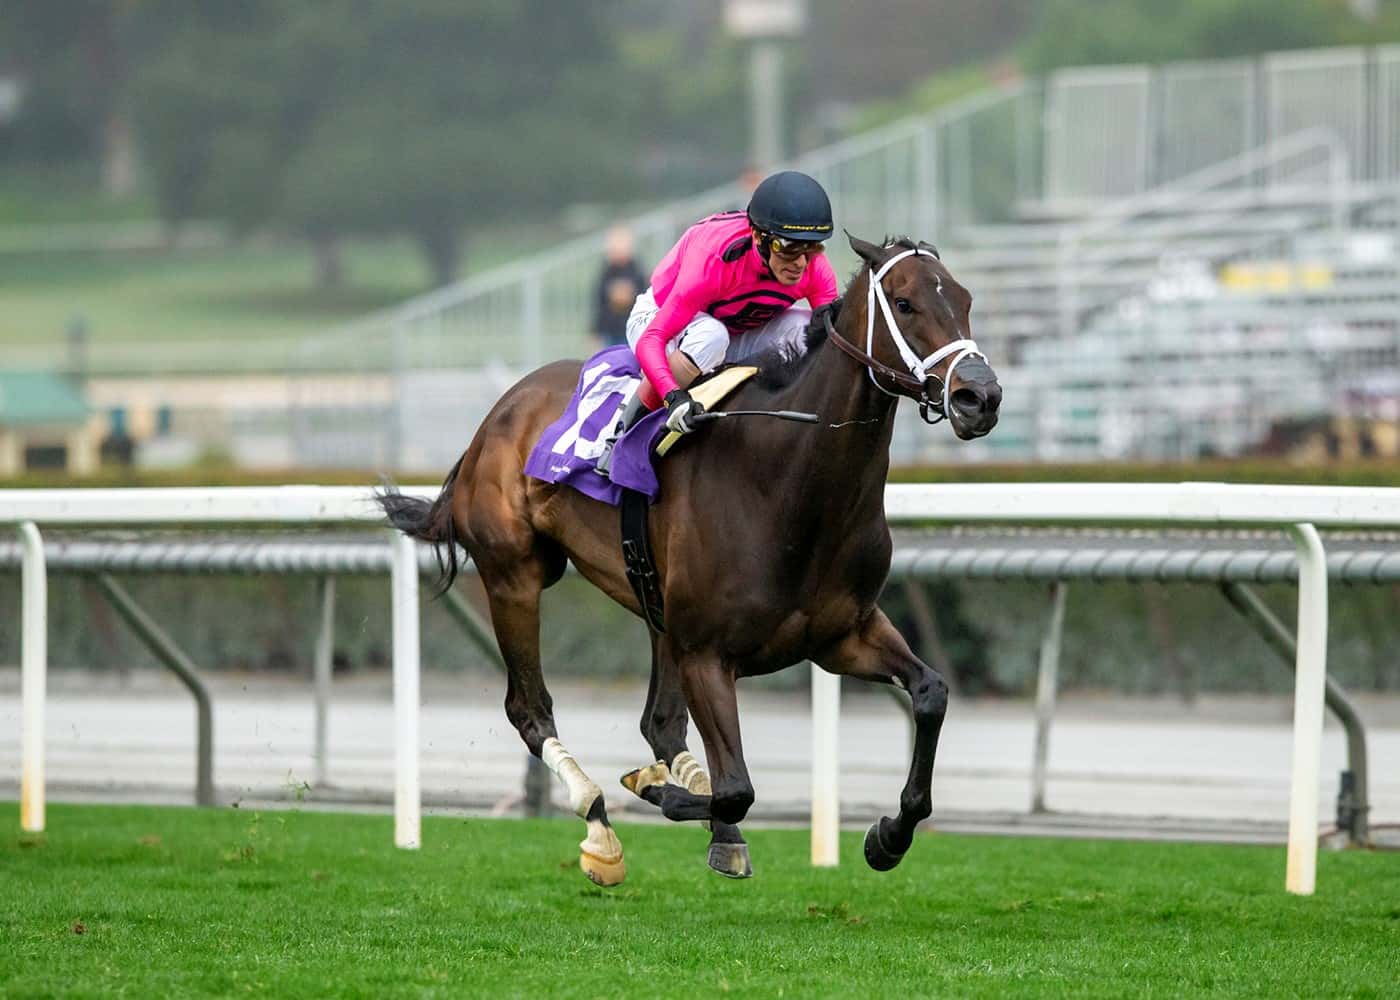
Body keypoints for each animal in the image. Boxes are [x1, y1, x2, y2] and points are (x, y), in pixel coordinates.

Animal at [378, 231, 1002, 879]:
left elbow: (930, 693)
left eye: (965, 299)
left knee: (660, 722)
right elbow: (737, 787)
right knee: (530, 708)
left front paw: (888, 836)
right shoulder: (707, 653)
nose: (980, 396)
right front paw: (655, 789)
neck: (788, 481)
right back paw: (600, 823)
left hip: (655, 607)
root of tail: (496, 416)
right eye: (904, 303)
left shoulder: (842, 634)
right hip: (515, 577)